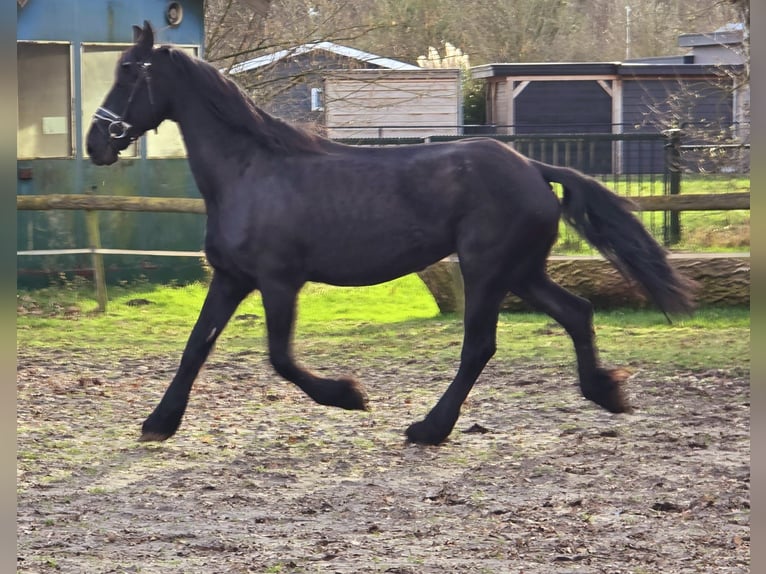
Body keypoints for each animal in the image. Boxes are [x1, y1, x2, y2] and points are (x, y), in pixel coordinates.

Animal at [86, 21, 696, 446]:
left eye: (129, 72)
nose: (96, 143)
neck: (250, 171)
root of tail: (533, 168)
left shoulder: (279, 281)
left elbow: (280, 357)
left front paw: (350, 396)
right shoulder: (232, 278)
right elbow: (196, 346)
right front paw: (159, 422)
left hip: (487, 269)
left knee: (480, 344)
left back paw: (429, 428)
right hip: (520, 271)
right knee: (576, 313)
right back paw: (607, 393)